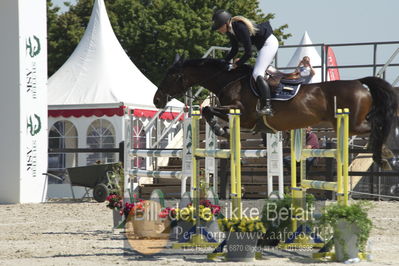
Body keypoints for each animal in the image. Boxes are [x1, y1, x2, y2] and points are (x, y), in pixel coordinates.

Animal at [155, 57, 398, 167]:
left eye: (170, 75)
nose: (157, 100)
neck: (230, 80)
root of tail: (360, 82)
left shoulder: (242, 114)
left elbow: (208, 108)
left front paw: (219, 130)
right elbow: (208, 109)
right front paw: (221, 130)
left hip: (353, 123)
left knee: (377, 126)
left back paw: (383, 154)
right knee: (376, 125)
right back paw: (384, 154)